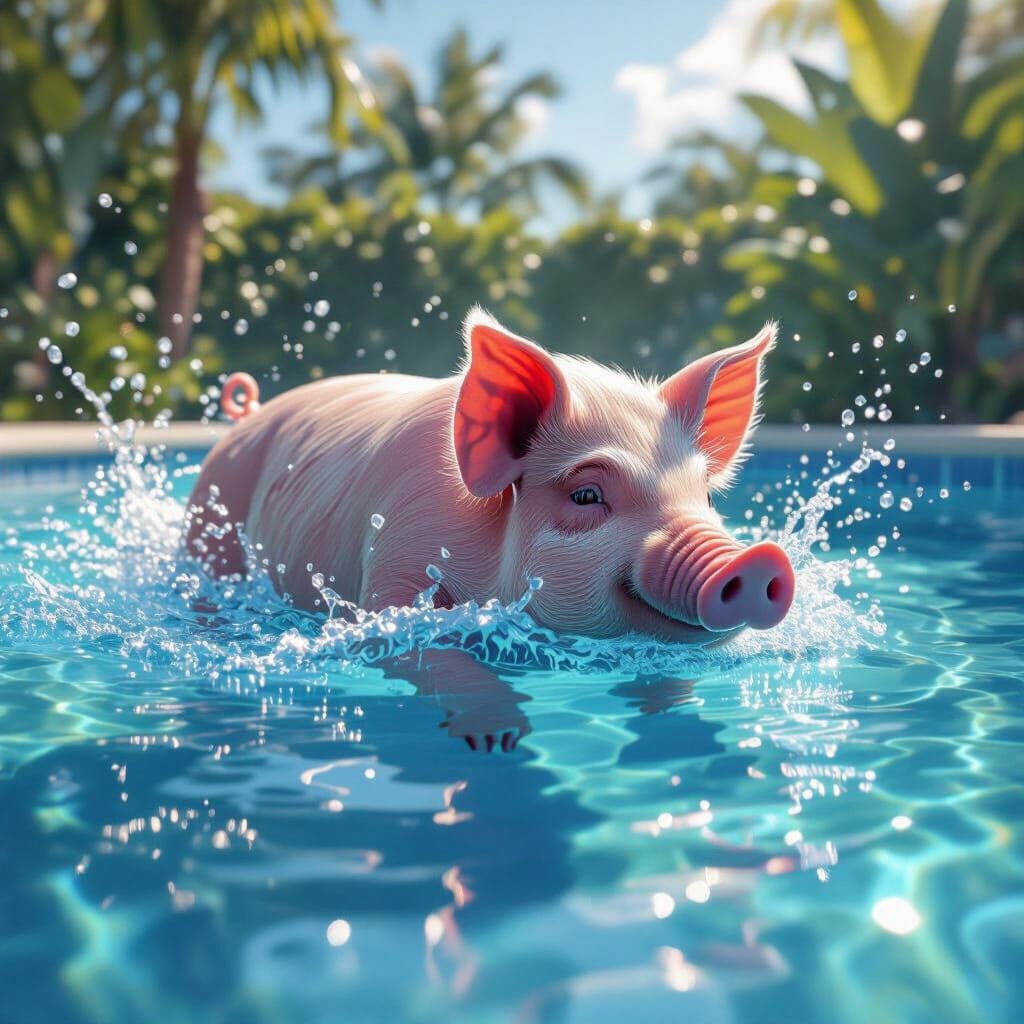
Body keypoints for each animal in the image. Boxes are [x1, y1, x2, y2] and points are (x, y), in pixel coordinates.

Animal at [186, 309, 794, 748]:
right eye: (587, 495)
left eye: (707, 495)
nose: (759, 559)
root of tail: (249, 415)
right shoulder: (392, 566)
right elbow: (423, 649)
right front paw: (498, 741)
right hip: (209, 519)